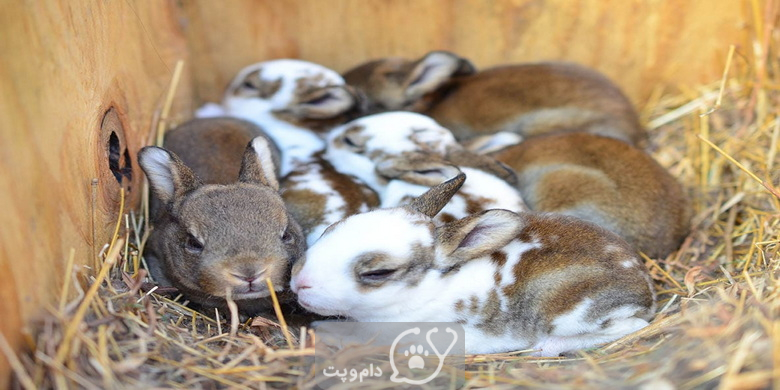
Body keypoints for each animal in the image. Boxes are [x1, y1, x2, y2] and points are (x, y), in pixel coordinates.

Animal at [290, 174, 656, 356]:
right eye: (332, 228)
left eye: (378, 273)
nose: (299, 281)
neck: (428, 292)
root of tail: (645, 287)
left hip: (573, 314)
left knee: (632, 327)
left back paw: (546, 347)